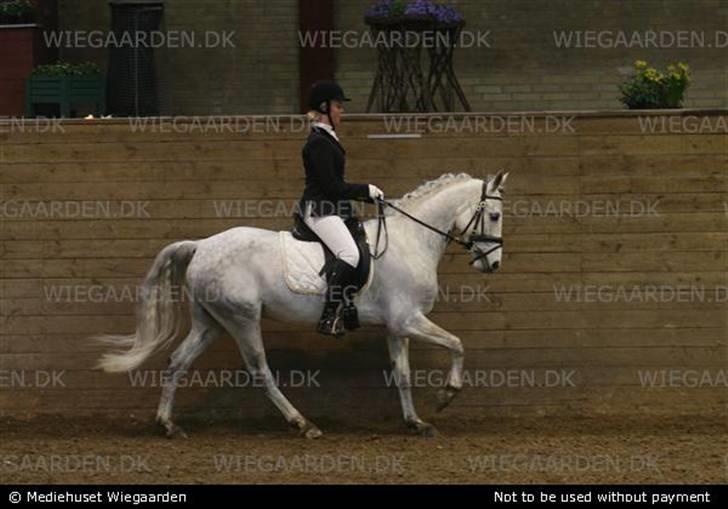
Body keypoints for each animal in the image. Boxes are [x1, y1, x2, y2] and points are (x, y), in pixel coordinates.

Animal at [97, 171, 508, 439]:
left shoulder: (396, 325)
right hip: (242, 318)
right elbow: (457, 344)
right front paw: (446, 396)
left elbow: (403, 374)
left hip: (210, 322)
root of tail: (200, 245)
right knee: (260, 370)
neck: (411, 240)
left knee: (177, 362)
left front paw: (416, 422)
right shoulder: (409, 319)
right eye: (494, 215)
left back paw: (168, 425)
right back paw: (303, 424)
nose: (493, 265)